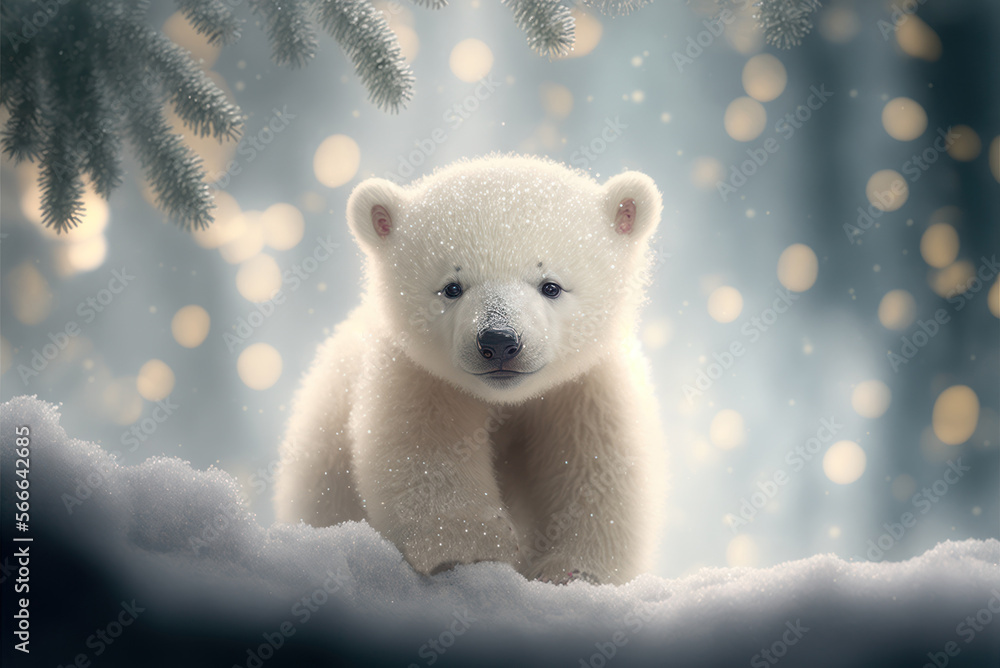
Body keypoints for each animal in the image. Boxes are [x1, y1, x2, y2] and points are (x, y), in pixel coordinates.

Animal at [275, 154, 666, 585]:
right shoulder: (420, 375)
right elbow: (422, 448)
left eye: (551, 286)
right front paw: (470, 547)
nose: (499, 342)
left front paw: (573, 573)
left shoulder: (586, 385)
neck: (508, 399)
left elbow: (599, 468)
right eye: (451, 287)